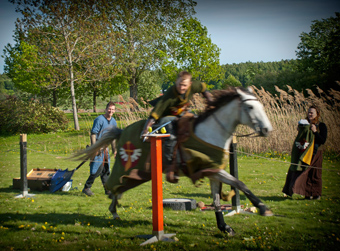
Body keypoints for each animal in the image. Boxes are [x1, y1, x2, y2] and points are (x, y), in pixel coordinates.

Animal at [76, 87, 274, 235]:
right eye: (250, 107)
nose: (266, 130)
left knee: (119, 188)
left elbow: (219, 199)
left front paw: (224, 227)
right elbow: (240, 184)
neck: (212, 132)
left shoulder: (213, 172)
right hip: (128, 168)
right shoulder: (212, 169)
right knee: (114, 184)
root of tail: (122, 130)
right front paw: (263, 208)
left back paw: (114, 209)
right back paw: (113, 208)